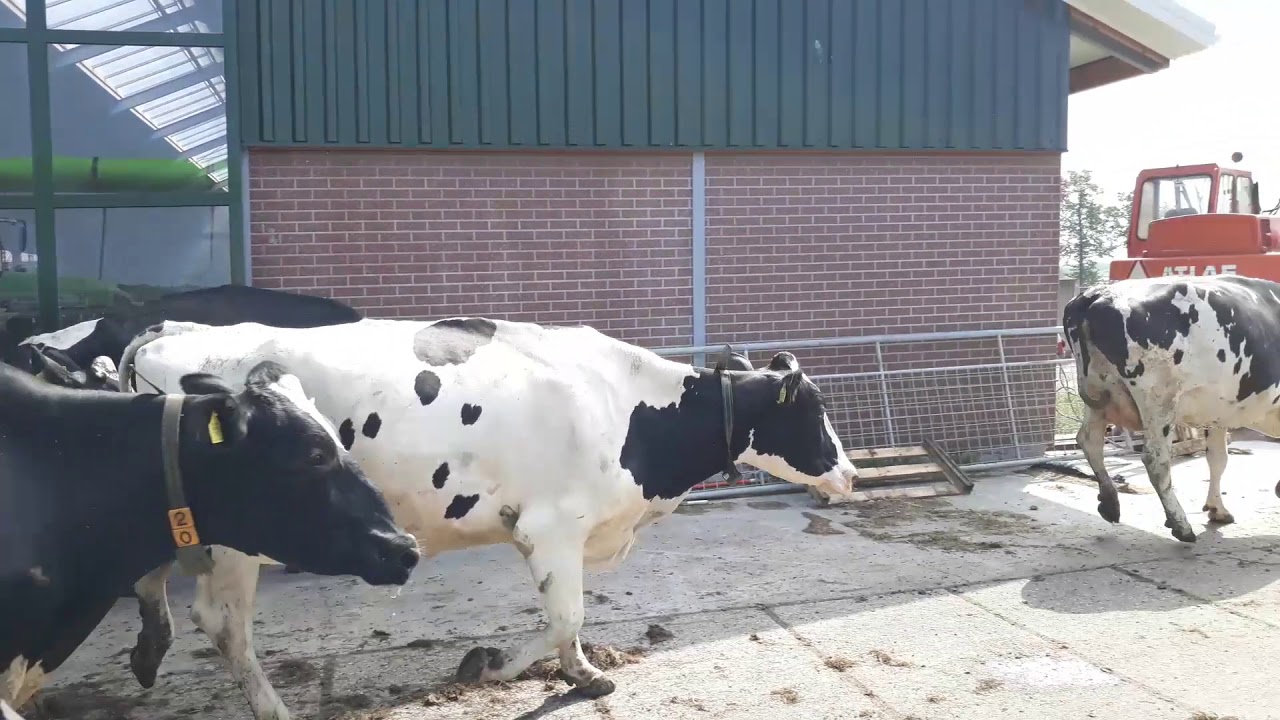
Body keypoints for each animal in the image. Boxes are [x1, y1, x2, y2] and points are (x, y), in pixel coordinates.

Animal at [113, 316, 860, 720]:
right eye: (814, 409)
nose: (852, 474)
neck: (628, 410)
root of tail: (170, 329)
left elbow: (567, 621)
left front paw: (576, 673)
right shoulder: (553, 527)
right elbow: (564, 617)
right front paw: (497, 667)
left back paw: (149, 649)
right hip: (236, 543)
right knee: (224, 623)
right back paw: (269, 706)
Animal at [1062, 274, 1280, 543]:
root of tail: (1099, 295)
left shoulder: (1217, 414)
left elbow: (1217, 458)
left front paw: (1217, 509)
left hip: (1098, 395)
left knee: (1090, 441)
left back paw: (1110, 503)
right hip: (1159, 398)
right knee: (1155, 459)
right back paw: (1181, 525)